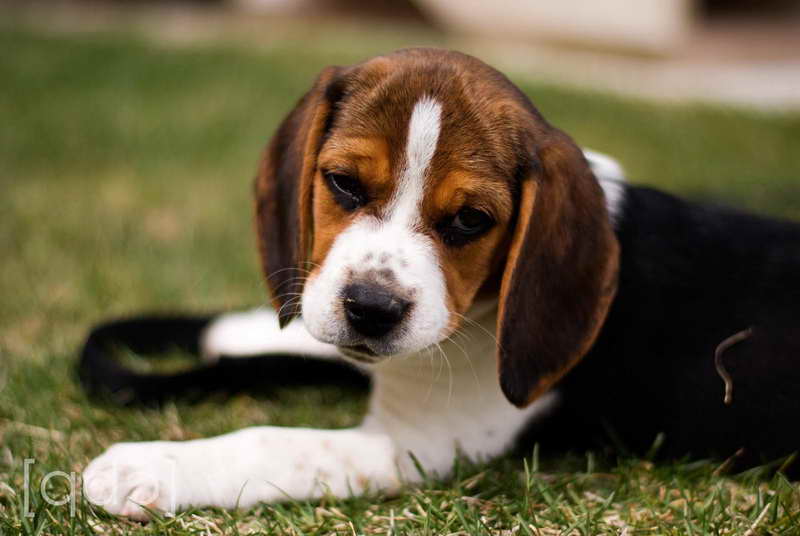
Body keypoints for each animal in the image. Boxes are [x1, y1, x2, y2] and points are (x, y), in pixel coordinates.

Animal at [83, 48, 800, 516]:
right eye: (343, 183)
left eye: (471, 220)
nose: (371, 309)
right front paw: (236, 332)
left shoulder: (411, 446)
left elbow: (275, 445)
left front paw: (150, 466)